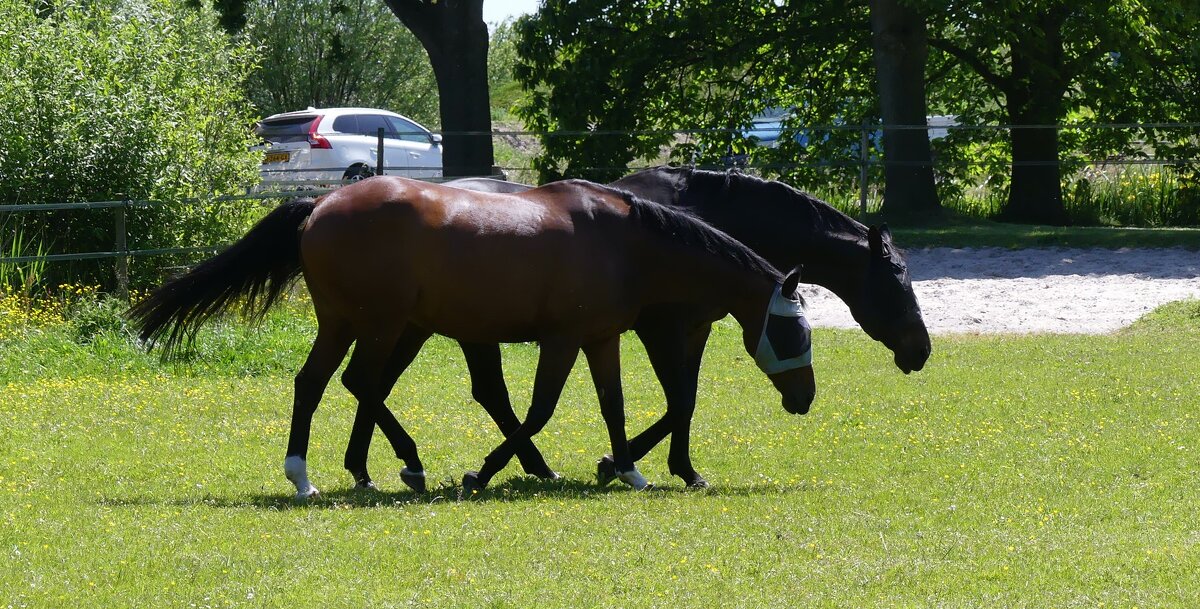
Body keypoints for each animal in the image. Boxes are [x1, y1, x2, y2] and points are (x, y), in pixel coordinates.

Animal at [131, 176, 816, 498]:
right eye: (792, 328)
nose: (805, 398)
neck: (622, 240)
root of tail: (320, 204)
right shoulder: (564, 340)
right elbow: (541, 410)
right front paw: (484, 474)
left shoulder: (600, 339)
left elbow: (612, 406)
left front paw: (625, 469)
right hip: (378, 325)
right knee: (355, 383)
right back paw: (356, 470)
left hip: (357, 325)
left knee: (322, 382)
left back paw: (332, 472)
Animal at [338, 166, 926, 489]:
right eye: (897, 280)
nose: (920, 350)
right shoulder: (658, 327)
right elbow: (677, 399)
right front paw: (629, 463)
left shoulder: (691, 328)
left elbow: (682, 398)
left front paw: (672, 466)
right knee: (455, 390)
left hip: (417, 325)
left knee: (379, 383)